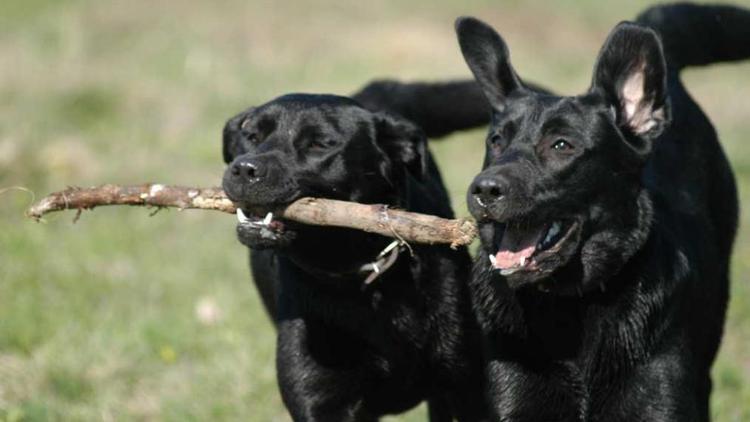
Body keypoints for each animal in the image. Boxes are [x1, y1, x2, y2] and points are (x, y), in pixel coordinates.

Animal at [219, 94, 488, 420]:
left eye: (320, 144)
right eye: (251, 136)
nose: (244, 169)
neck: (363, 278)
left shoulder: (466, 382)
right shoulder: (320, 399)